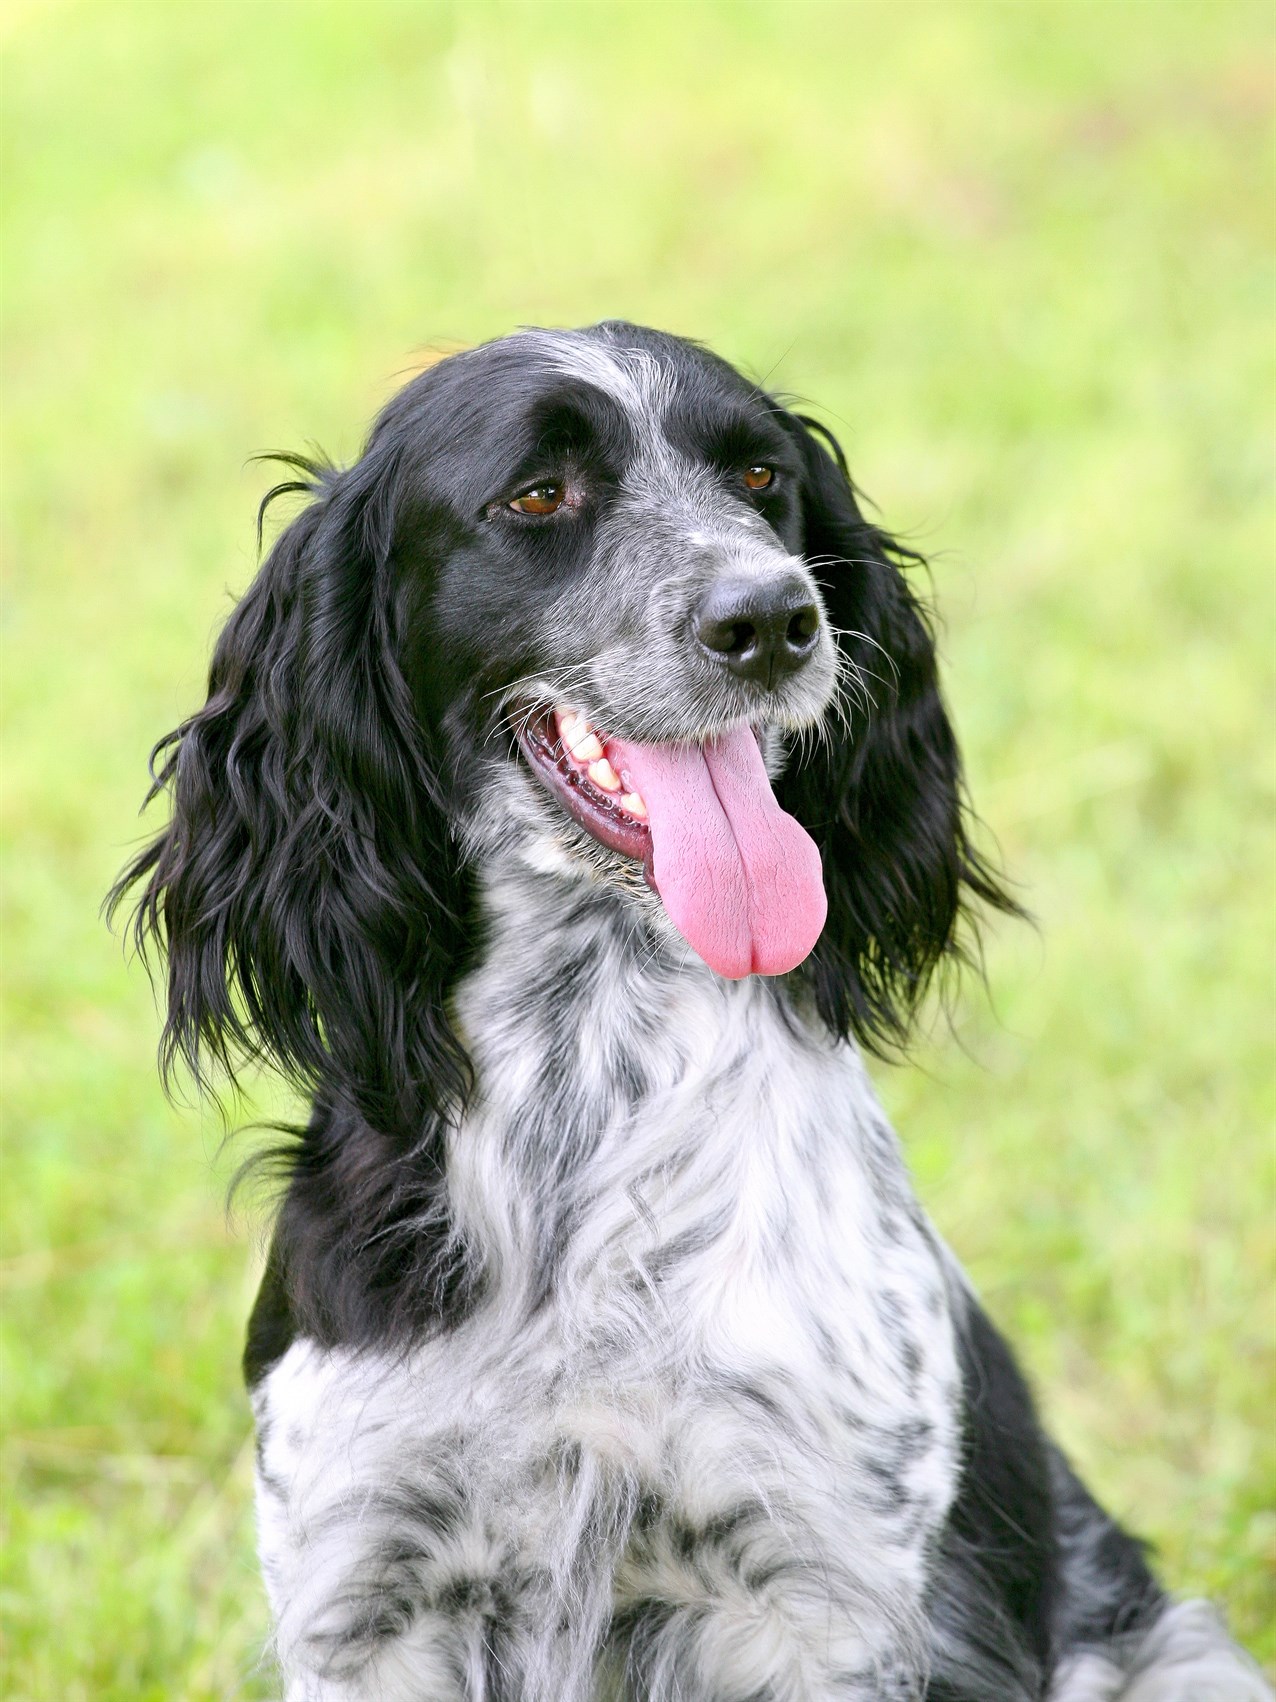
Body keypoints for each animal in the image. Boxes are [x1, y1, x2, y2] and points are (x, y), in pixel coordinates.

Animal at [109, 321, 1272, 1702]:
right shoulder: (368, 1590)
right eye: (537, 495)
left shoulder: (818, 1597)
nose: (771, 617)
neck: (592, 1079)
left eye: (762, 478)